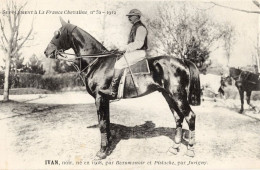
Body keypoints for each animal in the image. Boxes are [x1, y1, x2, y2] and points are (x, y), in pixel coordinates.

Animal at [43, 17, 200, 159]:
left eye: (57, 33)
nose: (46, 52)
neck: (97, 62)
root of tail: (182, 61)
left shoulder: (99, 98)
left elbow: (102, 124)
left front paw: (101, 152)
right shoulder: (104, 100)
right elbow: (106, 122)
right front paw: (108, 146)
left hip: (178, 96)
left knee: (190, 116)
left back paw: (191, 150)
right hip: (167, 95)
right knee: (178, 117)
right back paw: (174, 148)